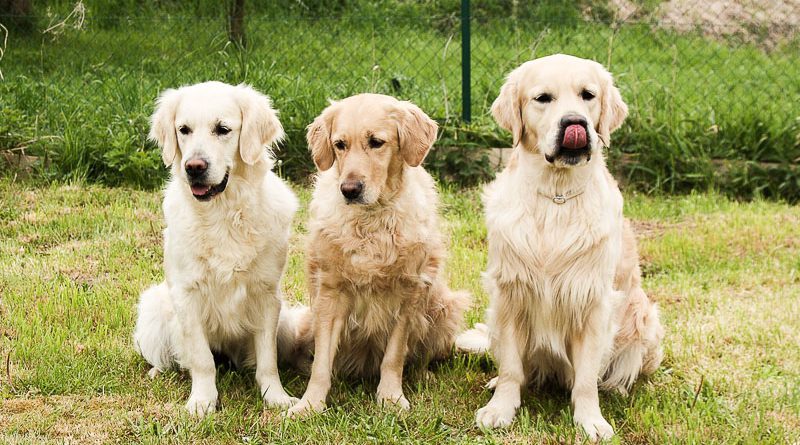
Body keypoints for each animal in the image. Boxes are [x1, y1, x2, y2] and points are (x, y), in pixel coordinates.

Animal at [134, 80, 300, 416]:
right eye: (183, 129)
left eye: (223, 129)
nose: (194, 167)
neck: (222, 213)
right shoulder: (186, 294)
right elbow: (201, 359)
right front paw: (202, 401)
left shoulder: (267, 295)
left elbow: (268, 360)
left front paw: (276, 397)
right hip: (154, 307)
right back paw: (158, 370)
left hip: (287, 323)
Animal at [284, 93, 468, 416]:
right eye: (339, 144)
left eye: (376, 142)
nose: (349, 189)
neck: (372, 220)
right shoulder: (330, 293)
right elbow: (321, 363)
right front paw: (310, 404)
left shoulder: (408, 293)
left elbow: (394, 356)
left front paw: (391, 398)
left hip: (445, 307)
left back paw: (425, 376)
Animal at [456, 53, 664, 438]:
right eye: (543, 98)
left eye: (587, 95)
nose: (574, 123)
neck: (557, 196)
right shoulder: (510, 293)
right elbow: (511, 368)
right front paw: (500, 408)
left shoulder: (593, 301)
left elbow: (585, 378)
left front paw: (591, 420)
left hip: (645, 318)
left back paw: (617, 388)